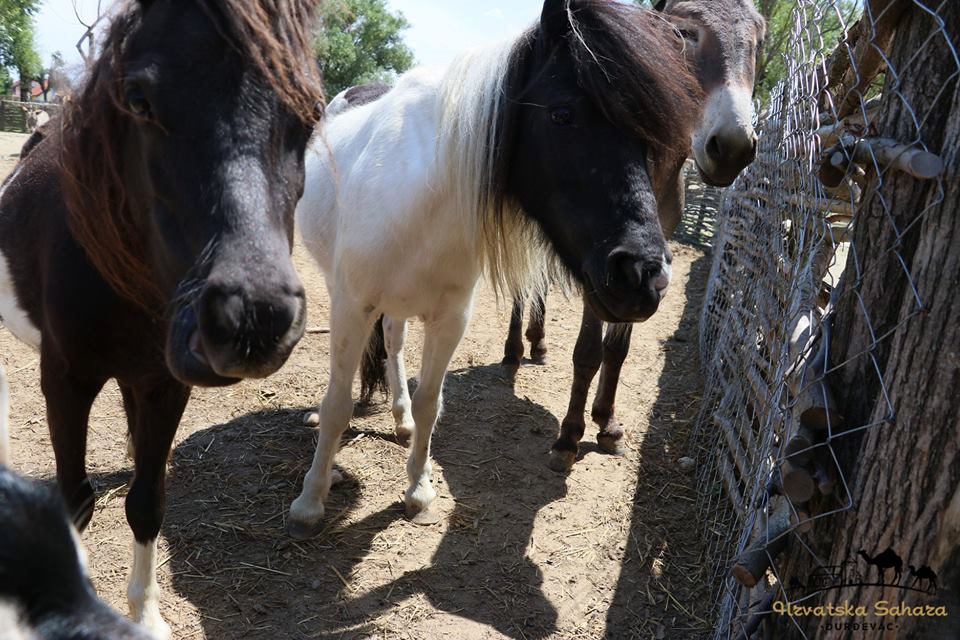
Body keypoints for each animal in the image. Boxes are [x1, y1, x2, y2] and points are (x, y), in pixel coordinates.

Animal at [0, 0, 322, 636]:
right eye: (139, 98)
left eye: (314, 113)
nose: (252, 319)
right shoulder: (65, 381)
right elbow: (75, 501)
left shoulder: (164, 384)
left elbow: (147, 502)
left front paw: (145, 615)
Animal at [502, 0, 764, 470]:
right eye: (684, 33)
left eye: (757, 42)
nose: (733, 147)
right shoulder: (602, 265)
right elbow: (588, 352)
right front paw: (569, 437)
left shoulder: (646, 265)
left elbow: (617, 349)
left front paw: (607, 424)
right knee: (522, 286)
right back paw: (514, 350)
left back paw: (538, 343)